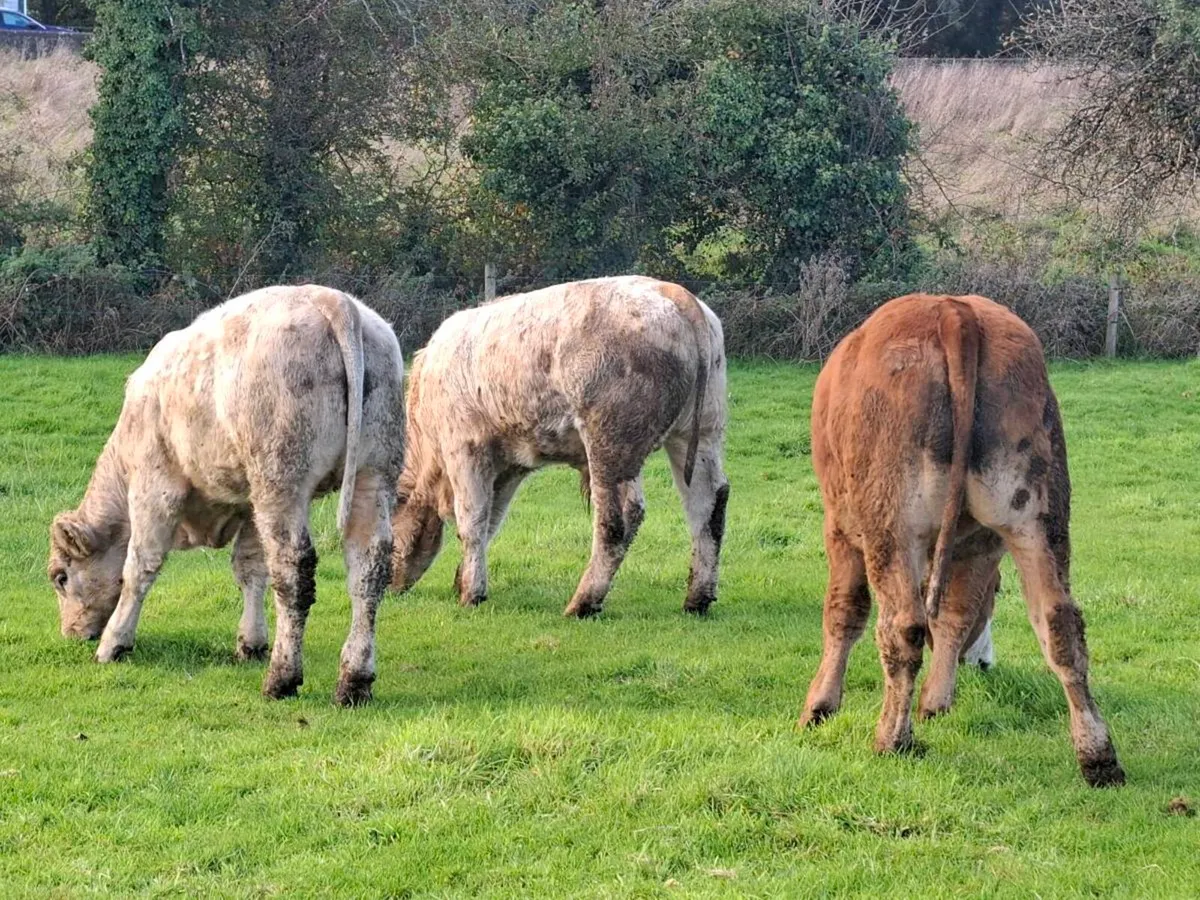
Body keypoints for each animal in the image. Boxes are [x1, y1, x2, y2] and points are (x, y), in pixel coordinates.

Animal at [48, 285, 405, 706]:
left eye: (60, 577)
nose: (71, 634)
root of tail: (331, 300)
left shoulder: (154, 487)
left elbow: (139, 567)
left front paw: (114, 643)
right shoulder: (248, 505)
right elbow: (250, 568)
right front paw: (251, 643)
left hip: (282, 482)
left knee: (293, 571)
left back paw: (282, 678)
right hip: (374, 474)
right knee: (368, 569)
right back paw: (354, 681)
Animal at [390, 275, 729, 618]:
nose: (388, 586)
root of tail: (671, 292)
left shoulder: (464, 447)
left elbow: (472, 521)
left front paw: (471, 593)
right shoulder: (509, 465)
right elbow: (491, 520)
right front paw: (464, 579)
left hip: (612, 443)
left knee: (620, 517)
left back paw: (583, 603)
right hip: (701, 433)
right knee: (707, 505)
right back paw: (697, 600)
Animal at [800, 293, 1124, 787]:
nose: (985, 663)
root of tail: (953, 311)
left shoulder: (840, 528)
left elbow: (844, 613)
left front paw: (820, 705)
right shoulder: (980, 545)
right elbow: (955, 614)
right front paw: (936, 700)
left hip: (890, 524)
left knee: (904, 627)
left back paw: (892, 738)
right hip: (1036, 519)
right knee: (1061, 625)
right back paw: (1098, 756)